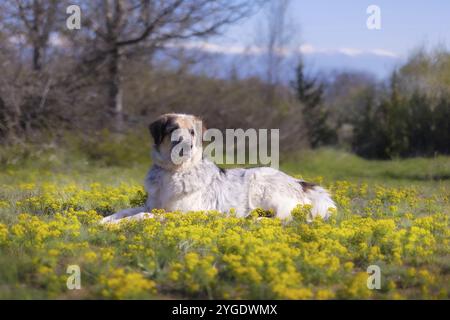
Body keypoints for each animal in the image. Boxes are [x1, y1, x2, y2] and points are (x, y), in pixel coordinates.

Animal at [101, 114, 334, 224]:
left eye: (192, 132)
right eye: (173, 129)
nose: (186, 145)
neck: (173, 171)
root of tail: (300, 183)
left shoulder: (181, 213)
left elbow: (142, 216)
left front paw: (118, 224)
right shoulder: (152, 205)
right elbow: (125, 211)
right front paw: (105, 222)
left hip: (262, 183)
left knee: (285, 218)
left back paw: (256, 219)